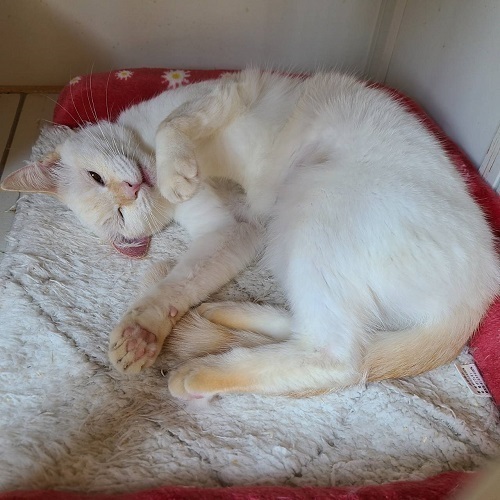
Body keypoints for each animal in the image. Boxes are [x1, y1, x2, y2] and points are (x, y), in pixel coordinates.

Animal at [2, 69, 499, 401]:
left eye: (96, 177)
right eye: (121, 219)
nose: (133, 188)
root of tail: (479, 294)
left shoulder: (226, 91)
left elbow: (169, 125)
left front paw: (175, 169)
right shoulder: (235, 231)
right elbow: (176, 285)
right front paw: (143, 329)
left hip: (315, 200)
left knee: (340, 355)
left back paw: (201, 371)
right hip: (289, 232)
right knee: (329, 339)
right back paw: (225, 318)